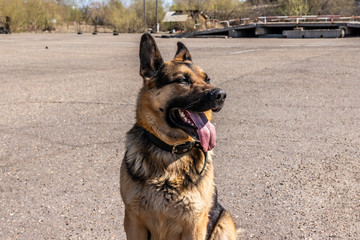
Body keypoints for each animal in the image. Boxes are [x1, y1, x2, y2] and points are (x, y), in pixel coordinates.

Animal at [121, 33, 236, 240]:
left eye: (207, 78)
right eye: (183, 80)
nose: (222, 95)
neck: (171, 151)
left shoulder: (195, 225)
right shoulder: (133, 222)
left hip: (224, 224)